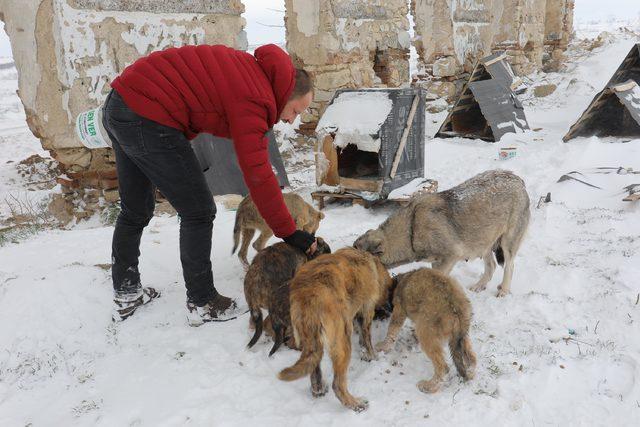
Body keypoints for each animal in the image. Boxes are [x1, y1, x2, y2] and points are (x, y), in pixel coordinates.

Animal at [278, 249, 392, 412]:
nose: (389, 308)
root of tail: (308, 294)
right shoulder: (367, 312)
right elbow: (367, 339)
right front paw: (373, 356)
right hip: (342, 340)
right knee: (337, 385)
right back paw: (355, 404)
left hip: (312, 341)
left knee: (314, 368)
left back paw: (318, 389)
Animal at [356, 171, 528, 298]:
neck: (411, 230)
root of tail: (518, 179)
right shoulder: (437, 262)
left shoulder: (450, 257)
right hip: (482, 241)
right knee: (491, 266)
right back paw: (479, 286)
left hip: (506, 243)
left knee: (509, 266)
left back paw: (504, 290)